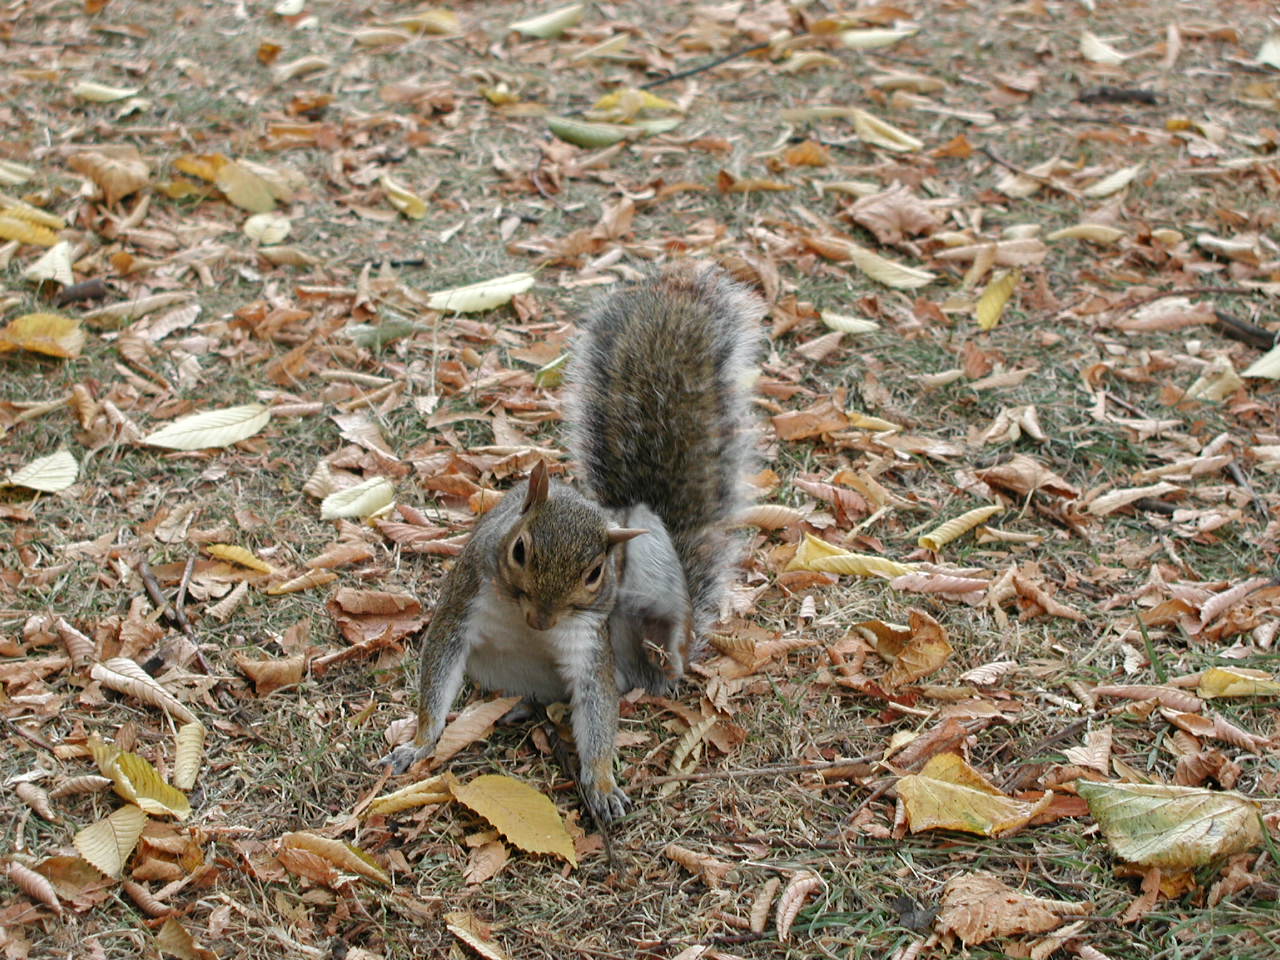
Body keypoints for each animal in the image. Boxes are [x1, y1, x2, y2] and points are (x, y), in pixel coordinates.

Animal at [376, 267, 757, 824]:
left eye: (596, 573)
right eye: (518, 550)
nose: (540, 621)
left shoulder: (588, 640)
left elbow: (597, 705)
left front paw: (601, 782)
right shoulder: (463, 601)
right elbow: (439, 667)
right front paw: (420, 743)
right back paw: (517, 707)